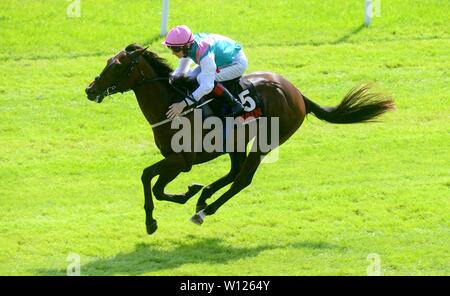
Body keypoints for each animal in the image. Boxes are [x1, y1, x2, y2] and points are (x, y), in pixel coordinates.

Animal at [84, 44, 394, 235]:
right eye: (108, 62)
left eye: (117, 66)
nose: (90, 89)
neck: (172, 106)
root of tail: (296, 93)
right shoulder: (176, 160)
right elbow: (156, 186)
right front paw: (189, 192)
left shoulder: (181, 160)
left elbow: (148, 177)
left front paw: (153, 220)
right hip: (235, 142)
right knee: (234, 172)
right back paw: (204, 197)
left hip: (267, 141)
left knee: (242, 179)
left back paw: (204, 210)